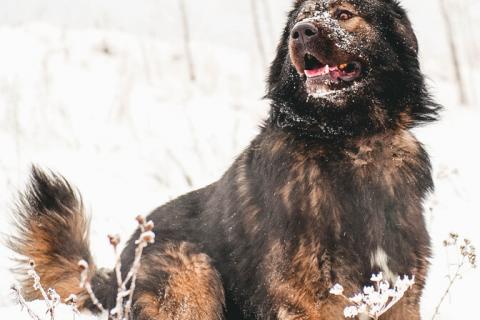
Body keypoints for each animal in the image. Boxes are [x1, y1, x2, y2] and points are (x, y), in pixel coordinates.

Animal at [9, 0, 440, 318]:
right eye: (301, 17)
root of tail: (114, 275)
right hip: (192, 272)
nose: (302, 32)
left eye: (344, 14)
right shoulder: (306, 301)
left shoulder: (402, 296)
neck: (347, 143)